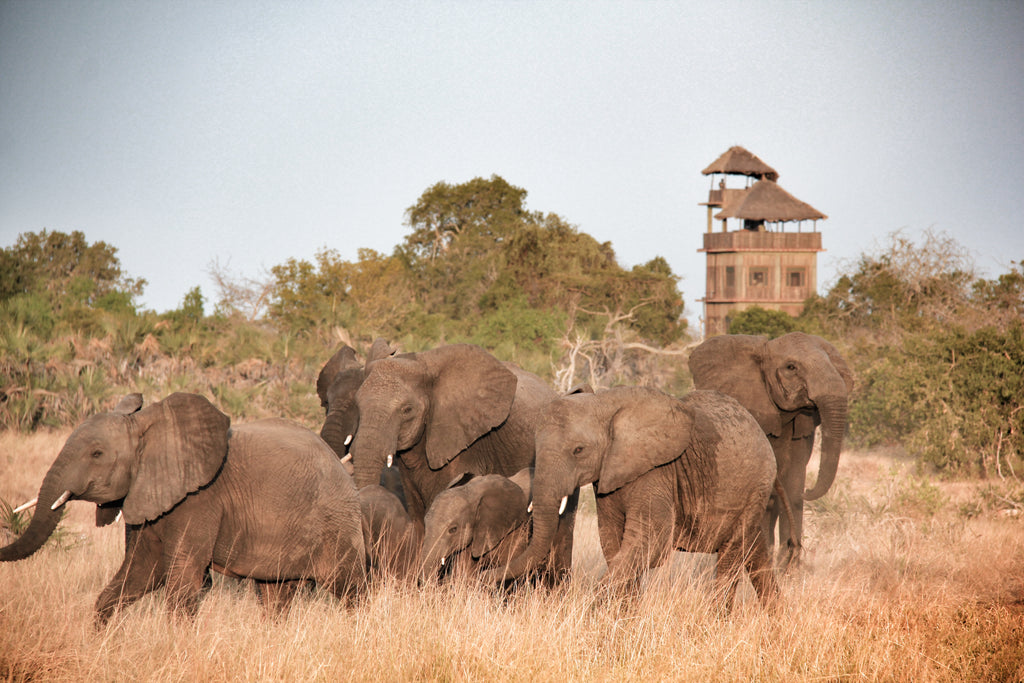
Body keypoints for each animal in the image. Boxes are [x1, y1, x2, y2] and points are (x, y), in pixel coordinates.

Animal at [0, 392, 366, 624]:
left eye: (97, 454)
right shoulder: (146, 496)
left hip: (336, 520)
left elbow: (179, 583)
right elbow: (140, 572)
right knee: (275, 593)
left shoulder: (200, 500)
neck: (152, 428)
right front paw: (101, 643)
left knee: (349, 588)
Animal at [490, 387, 780, 609]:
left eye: (578, 450)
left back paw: (717, 619)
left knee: (732, 555)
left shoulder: (655, 471)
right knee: (754, 550)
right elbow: (612, 539)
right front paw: (625, 616)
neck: (604, 403)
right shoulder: (608, 479)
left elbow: (651, 540)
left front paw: (596, 608)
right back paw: (774, 619)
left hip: (756, 485)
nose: (487, 573)